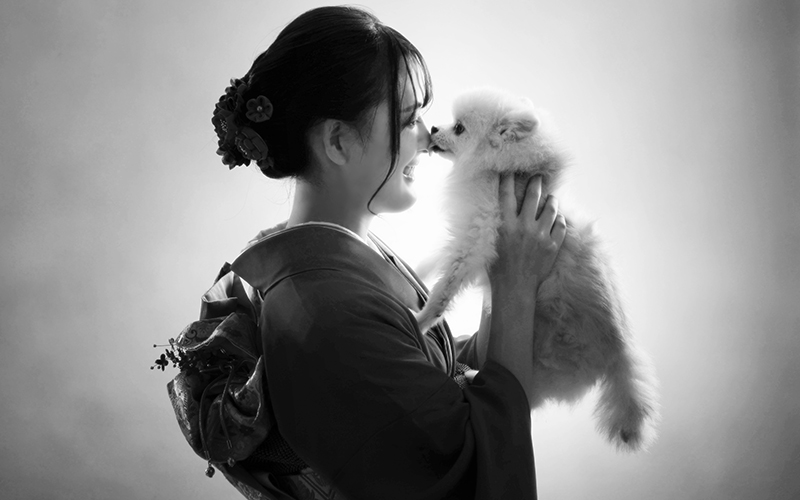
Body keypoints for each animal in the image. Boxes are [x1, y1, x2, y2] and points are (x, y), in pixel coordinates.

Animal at [418, 88, 659, 451]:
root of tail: (620, 351)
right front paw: (421, 268)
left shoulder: (478, 235)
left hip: (546, 360)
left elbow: (448, 284)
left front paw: (422, 319)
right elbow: (438, 257)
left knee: (525, 396)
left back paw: (471, 377)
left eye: (458, 128)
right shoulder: (466, 232)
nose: (433, 128)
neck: (503, 171)